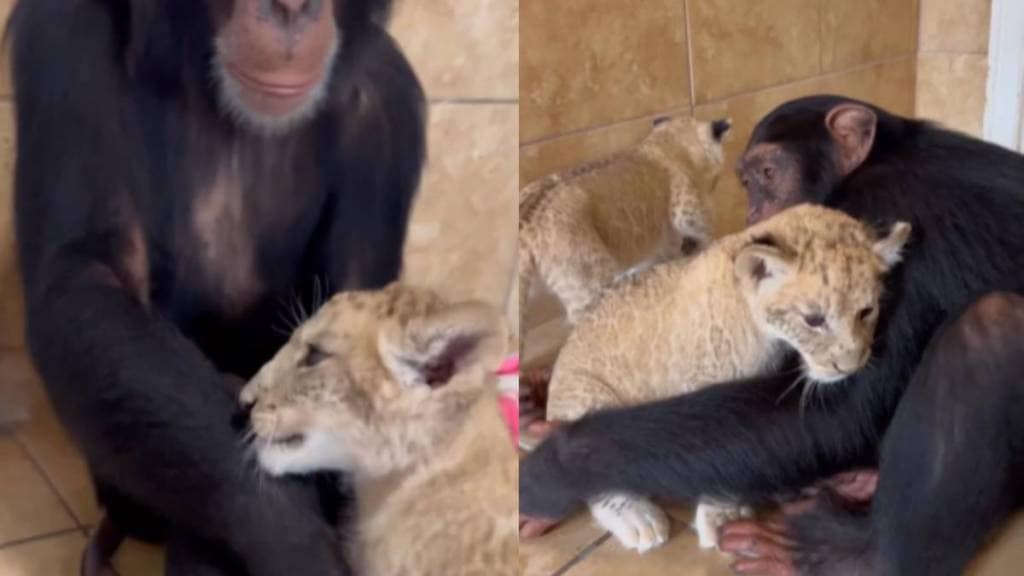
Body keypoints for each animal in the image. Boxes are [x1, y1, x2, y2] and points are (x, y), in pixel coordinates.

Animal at [524, 95, 1024, 573]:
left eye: (769, 173)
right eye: (747, 181)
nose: (754, 210)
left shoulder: (888, 207)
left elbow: (838, 410)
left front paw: (548, 469)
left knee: (990, 323)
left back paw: (844, 553)